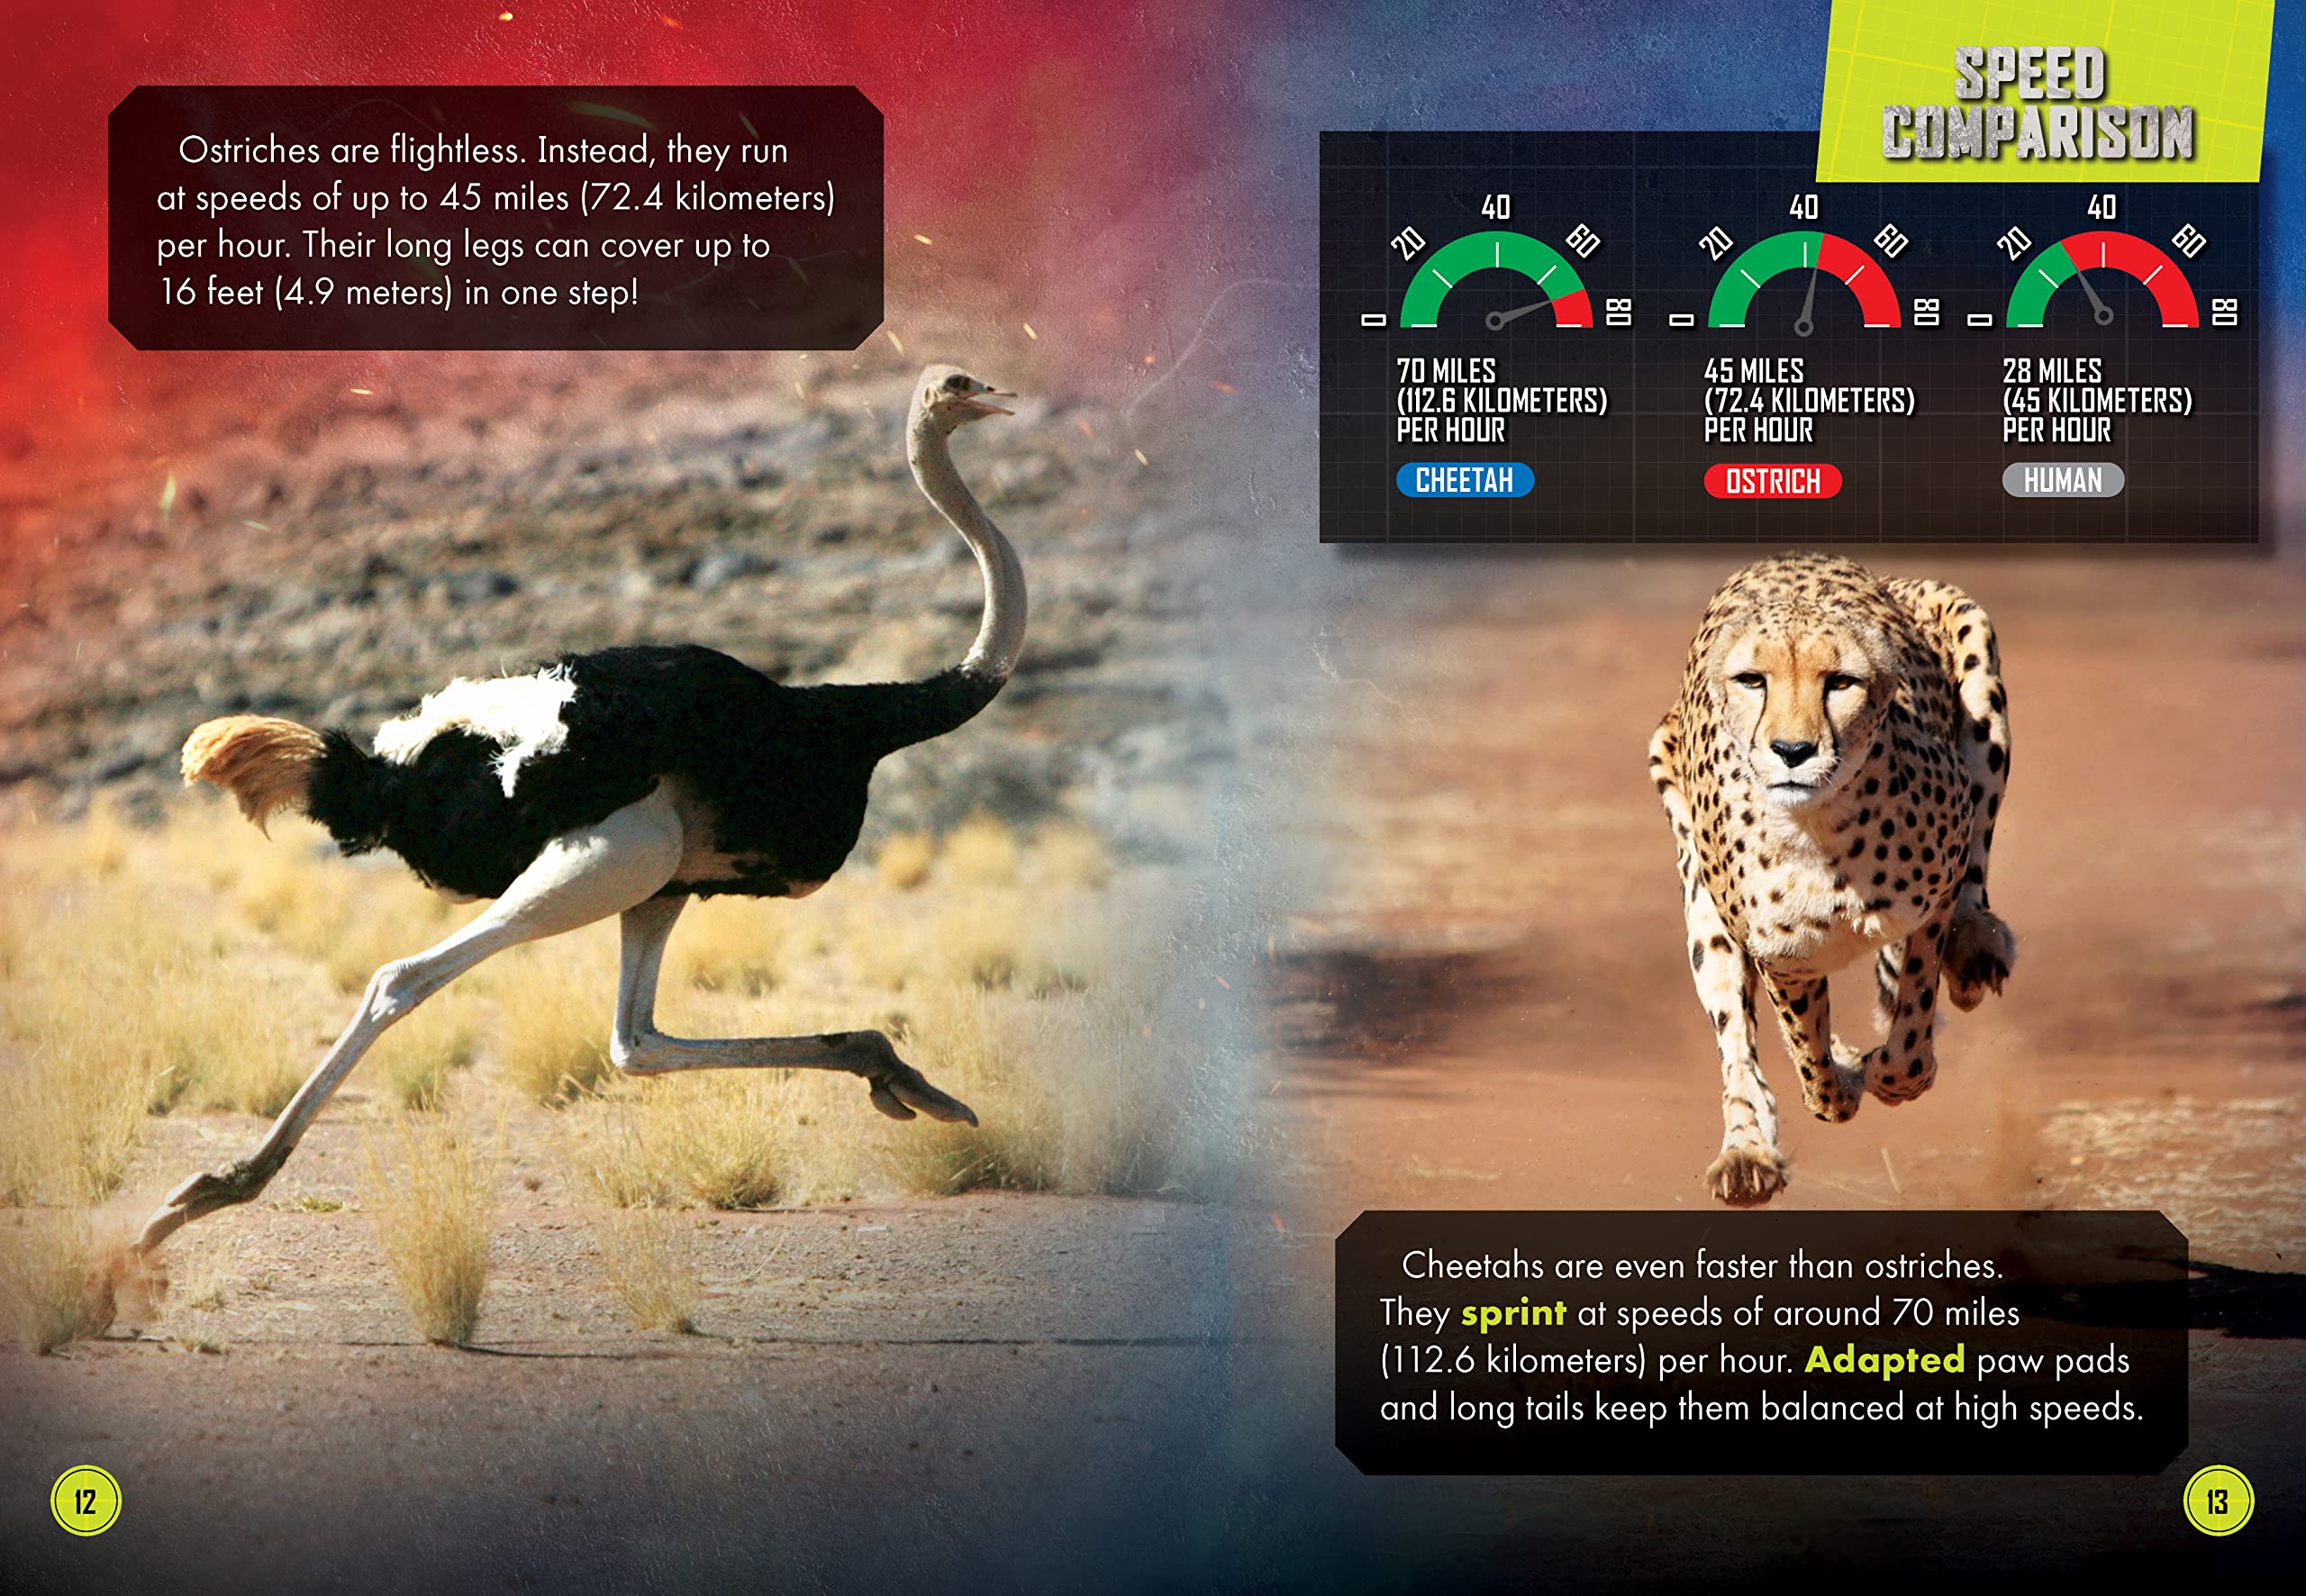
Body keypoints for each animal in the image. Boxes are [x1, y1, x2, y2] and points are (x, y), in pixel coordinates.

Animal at [1647, 551, 2015, 1205]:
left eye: (1840, 682)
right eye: (1753, 680)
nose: (1792, 750)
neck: (1820, 828)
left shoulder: (1934, 896)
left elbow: (1910, 1037)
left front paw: (1885, 1071)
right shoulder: (1781, 956)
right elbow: (1807, 1056)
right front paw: (1840, 1082)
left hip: (1979, 676)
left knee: (1978, 854)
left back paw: (1975, 948)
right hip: (1701, 905)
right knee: (1737, 1044)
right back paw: (1746, 1152)